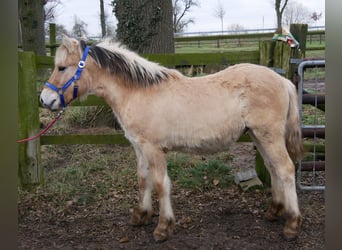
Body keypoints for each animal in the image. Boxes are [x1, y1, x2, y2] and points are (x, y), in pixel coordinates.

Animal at [40, 35, 304, 242]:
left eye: (62, 67)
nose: (45, 100)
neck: (138, 92)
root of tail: (282, 80)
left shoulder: (154, 149)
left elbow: (160, 184)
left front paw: (163, 228)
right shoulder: (139, 147)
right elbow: (142, 180)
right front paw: (141, 215)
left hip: (268, 135)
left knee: (286, 169)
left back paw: (292, 225)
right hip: (259, 136)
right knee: (274, 168)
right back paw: (274, 211)